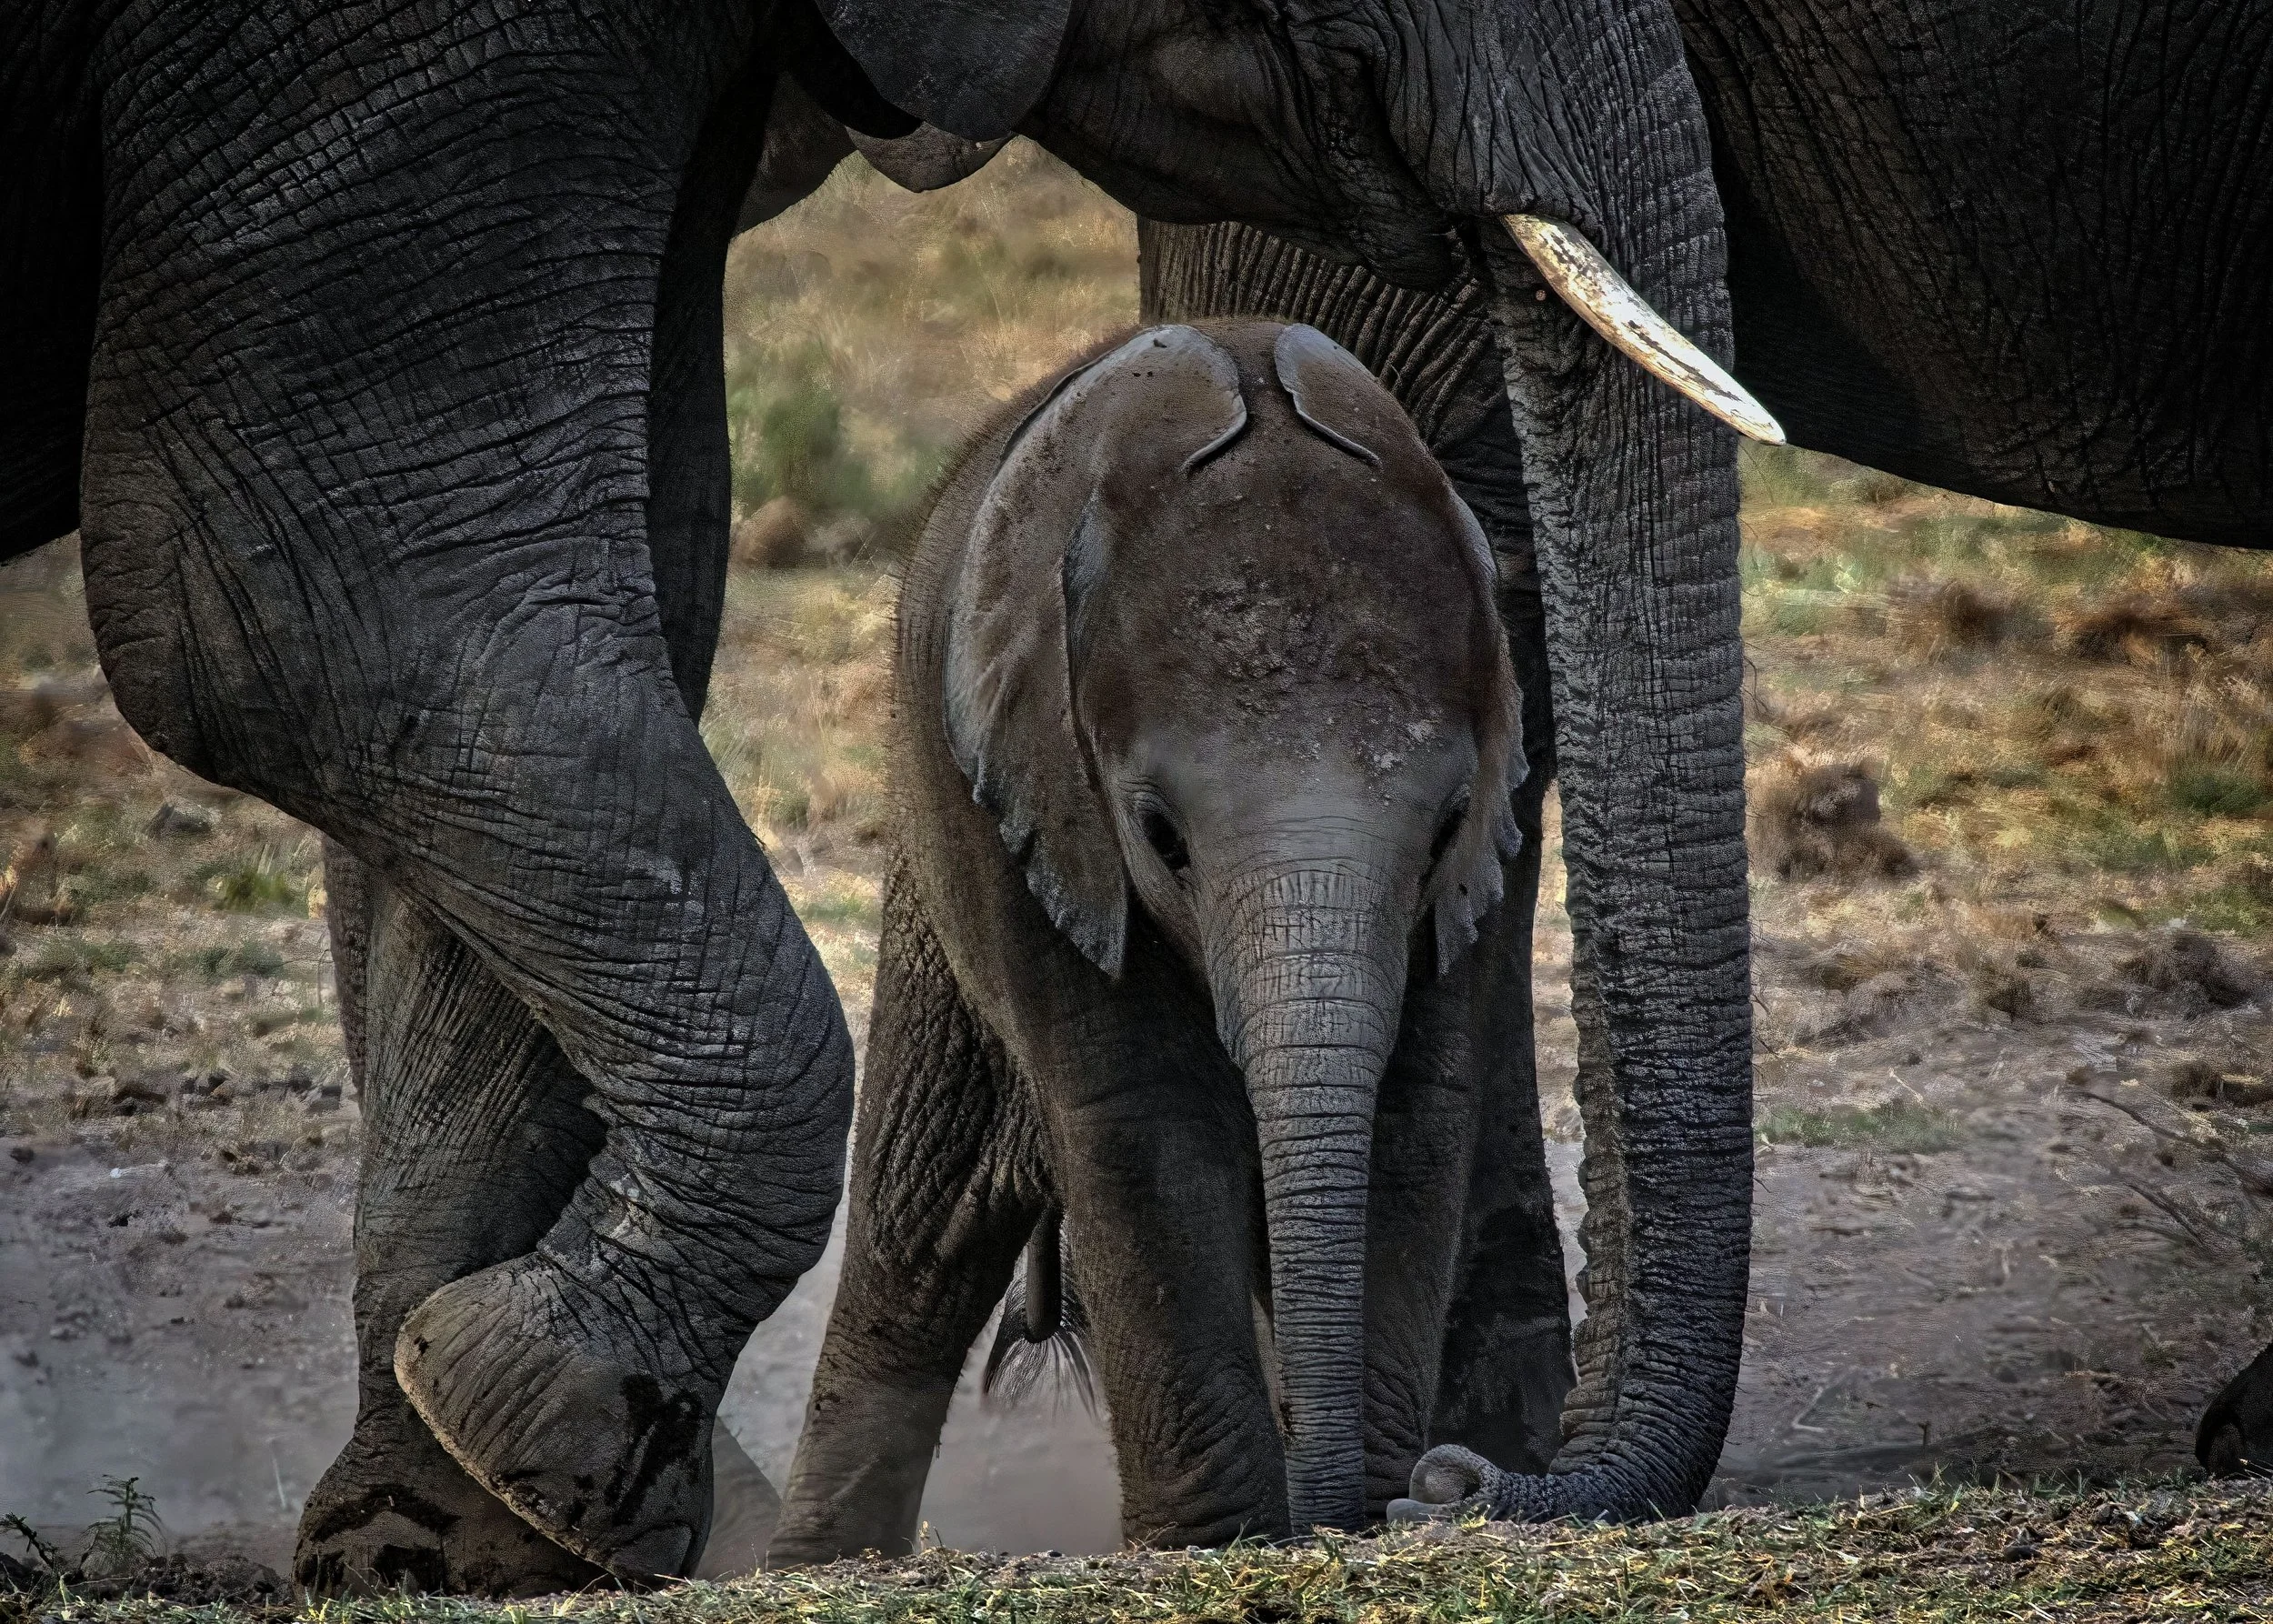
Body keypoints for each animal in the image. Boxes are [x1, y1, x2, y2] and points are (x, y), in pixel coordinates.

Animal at [766, 318, 1560, 1559]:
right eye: (1160, 837)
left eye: (1442, 830)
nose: (1431, 1485)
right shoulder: (1037, 814)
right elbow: (1143, 1127)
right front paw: (1218, 1541)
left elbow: (1410, 1118)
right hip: (932, 823)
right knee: (915, 1234)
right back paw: (821, 1563)